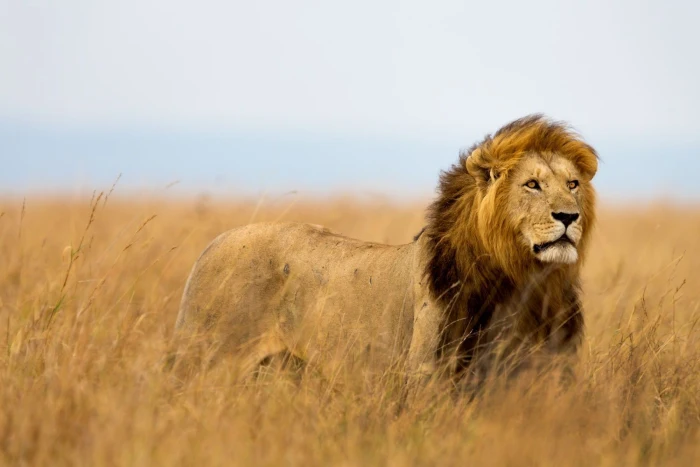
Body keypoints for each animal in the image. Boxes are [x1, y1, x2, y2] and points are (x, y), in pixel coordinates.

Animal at [173, 114, 598, 387]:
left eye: (573, 184)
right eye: (532, 185)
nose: (568, 216)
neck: (525, 281)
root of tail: (212, 245)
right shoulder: (428, 375)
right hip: (205, 361)